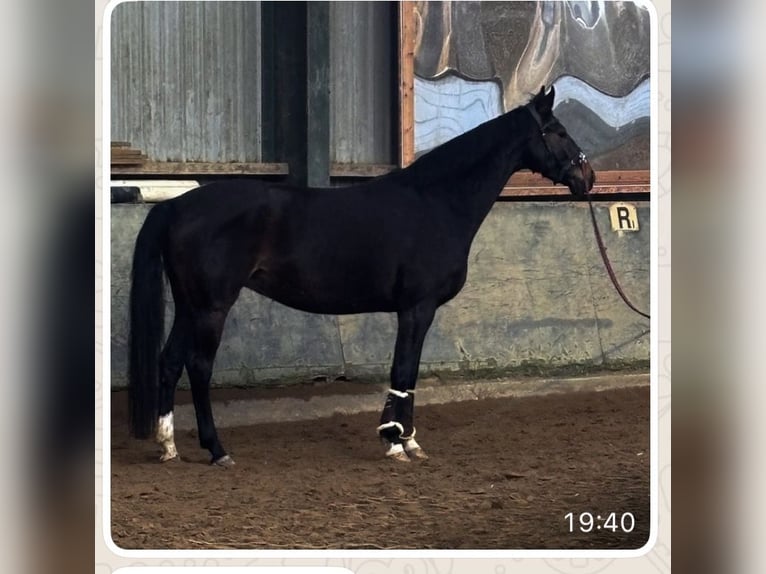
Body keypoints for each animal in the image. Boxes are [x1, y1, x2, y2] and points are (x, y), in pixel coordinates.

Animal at [127, 85, 595, 466]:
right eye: (557, 130)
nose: (586, 177)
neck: (435, 202)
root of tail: (177, 205)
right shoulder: (417, 309)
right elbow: (403, 371)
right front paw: (396, 443)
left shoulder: (414, 311)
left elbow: (406, 373)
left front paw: (407, 441)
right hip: (212, 307)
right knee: (198, 366)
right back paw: (217, 450)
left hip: (189, 305)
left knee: (169, 362)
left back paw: (168, 446)